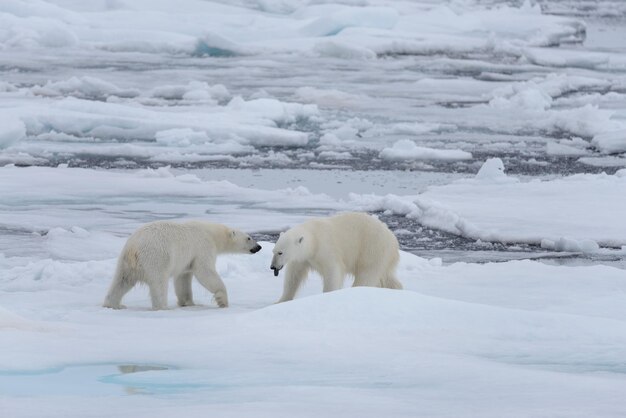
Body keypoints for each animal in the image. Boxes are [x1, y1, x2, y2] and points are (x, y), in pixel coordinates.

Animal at [103, 220, 260, 308]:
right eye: (249, 238)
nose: (259, 247)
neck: (212, 233)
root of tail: (133, 248)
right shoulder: (203, 247)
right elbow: (204, 271)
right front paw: (222, 300)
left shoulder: (186, 260)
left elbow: (183, 278)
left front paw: (188, 303)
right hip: (156, 258)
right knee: (159, 283)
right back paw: (163, 306)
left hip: (125, 263)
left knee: (121, 282)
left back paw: (114, 304)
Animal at [270, 211, 402, 302]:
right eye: (274, 251)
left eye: (280, 252)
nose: (273, 267)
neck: (314, 238)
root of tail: (392, 238)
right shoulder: (303, 258)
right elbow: (293, 276)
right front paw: (281, 301)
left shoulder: (326, 248)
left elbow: (332, 272)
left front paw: (328, 295)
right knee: (386, 277)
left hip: (372, 248)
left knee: (367, 274)